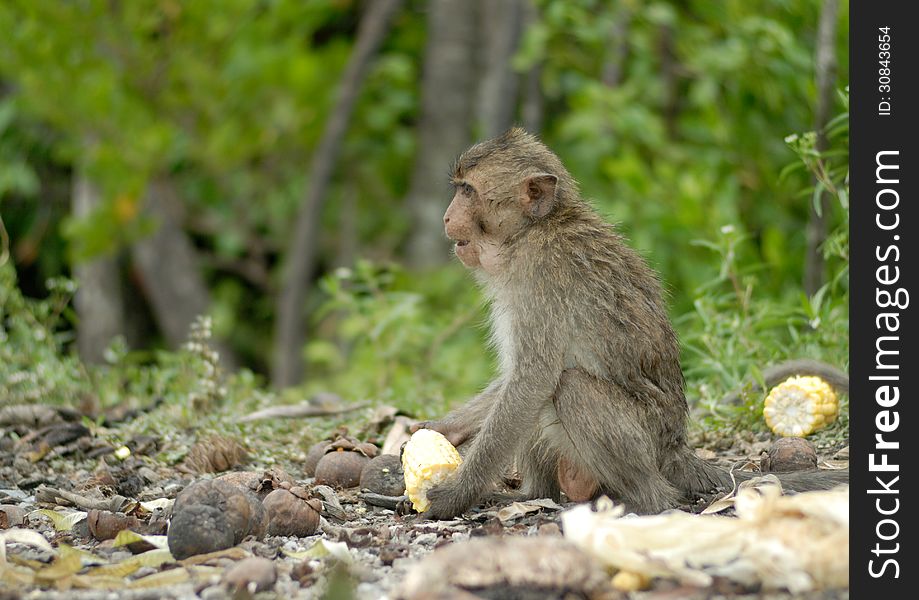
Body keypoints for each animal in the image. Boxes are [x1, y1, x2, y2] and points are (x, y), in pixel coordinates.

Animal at [414, 129, 852, 516]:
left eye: (468, 191)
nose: (447, 216)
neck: (533, 229)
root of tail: (676, 449)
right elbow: (518, 381)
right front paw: (444, 430)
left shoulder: (541, 276)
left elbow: (530, 381)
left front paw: (454, 494)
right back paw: (533, 495)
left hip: (646, 441)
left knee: (568, 387)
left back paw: (645, 501)